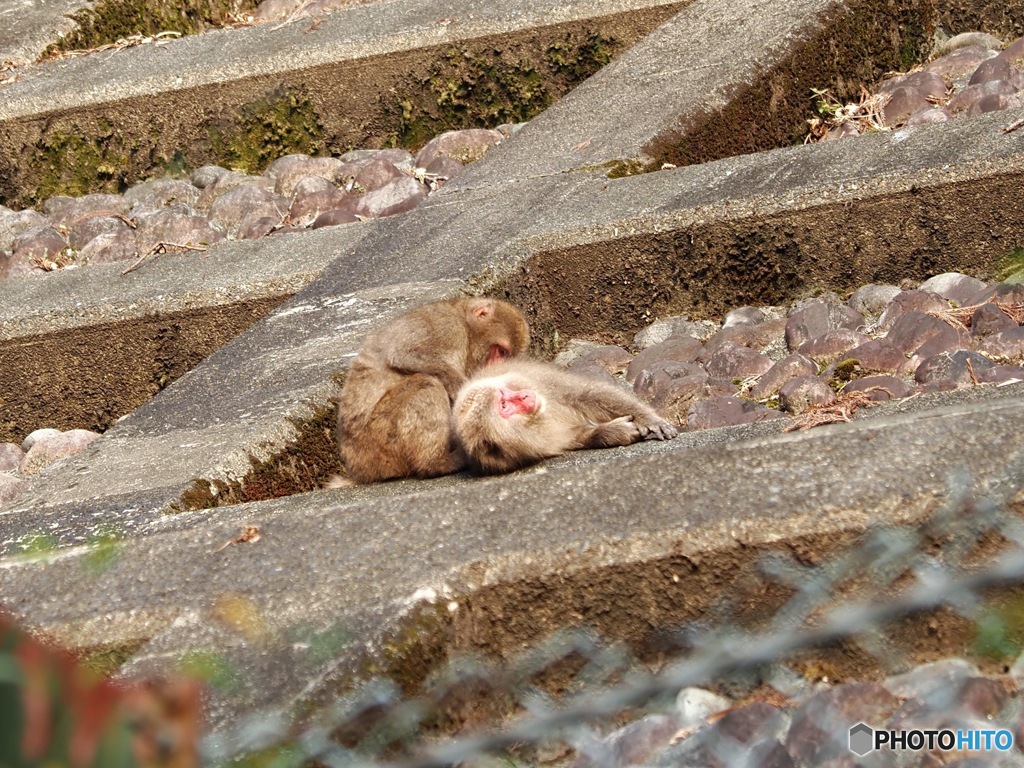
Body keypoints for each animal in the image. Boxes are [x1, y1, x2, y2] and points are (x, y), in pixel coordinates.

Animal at [337, 296, 532, 483]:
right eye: (501, 351)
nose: (496, 366)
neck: (466, 328)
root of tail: (358, 468)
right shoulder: (447, 327)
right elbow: (404, 354)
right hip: (380, 437)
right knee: (427, 384)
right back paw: (435, 463)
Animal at [454, 360, 679, 475]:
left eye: (504, 394)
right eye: (504, 406)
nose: (525, 396)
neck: (538, 420)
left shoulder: (538, 382)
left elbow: (586, 395)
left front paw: (649, 419)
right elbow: (574, 437)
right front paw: (613, 432)